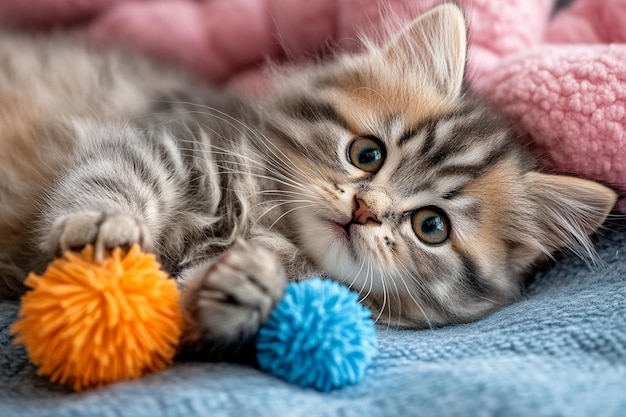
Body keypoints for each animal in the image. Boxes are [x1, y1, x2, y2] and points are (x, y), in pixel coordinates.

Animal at [0, 4, 616, 354]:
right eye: (367, 154)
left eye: (431, 227)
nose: (364, 210)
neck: (272, 226)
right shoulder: (168, 137)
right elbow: (118, 179)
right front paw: (103, 226)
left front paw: (242, 288)